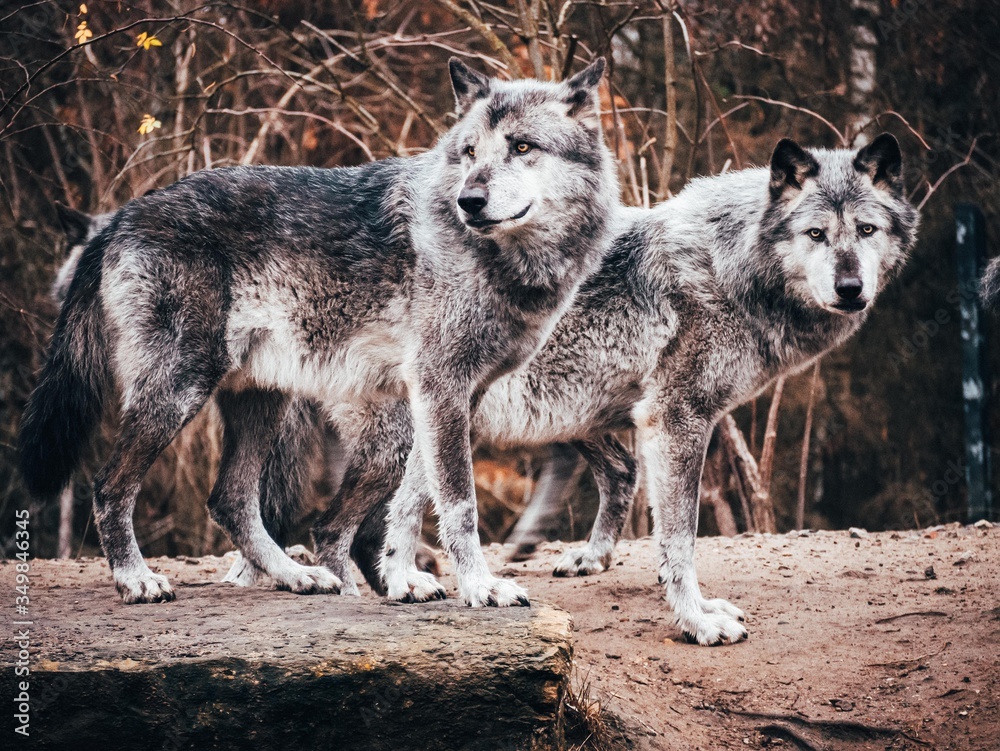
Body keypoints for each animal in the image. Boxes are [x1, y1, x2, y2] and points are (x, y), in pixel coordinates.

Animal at [19, 57, 617, 605]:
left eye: (522, 147)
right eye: (470, 152)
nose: (468, 201)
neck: (506, 263)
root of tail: (122, 216)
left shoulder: (452, 397)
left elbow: (413, 503)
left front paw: (403, 578)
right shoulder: (440, 388)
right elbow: (459, 504)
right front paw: (480, 587)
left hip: (268, 404)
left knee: (231, 500)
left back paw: (297, 576)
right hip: (179, 392)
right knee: (110, 486)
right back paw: (136, 580)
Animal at [282, 134, 917, 644]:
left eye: (866, 230)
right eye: (815, 234)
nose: (851, 288)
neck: (728, 266)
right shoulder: (678, 419)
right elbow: (680, 539)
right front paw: (696, 623)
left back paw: (414, 582)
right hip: (427, 438)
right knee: (334, 527)